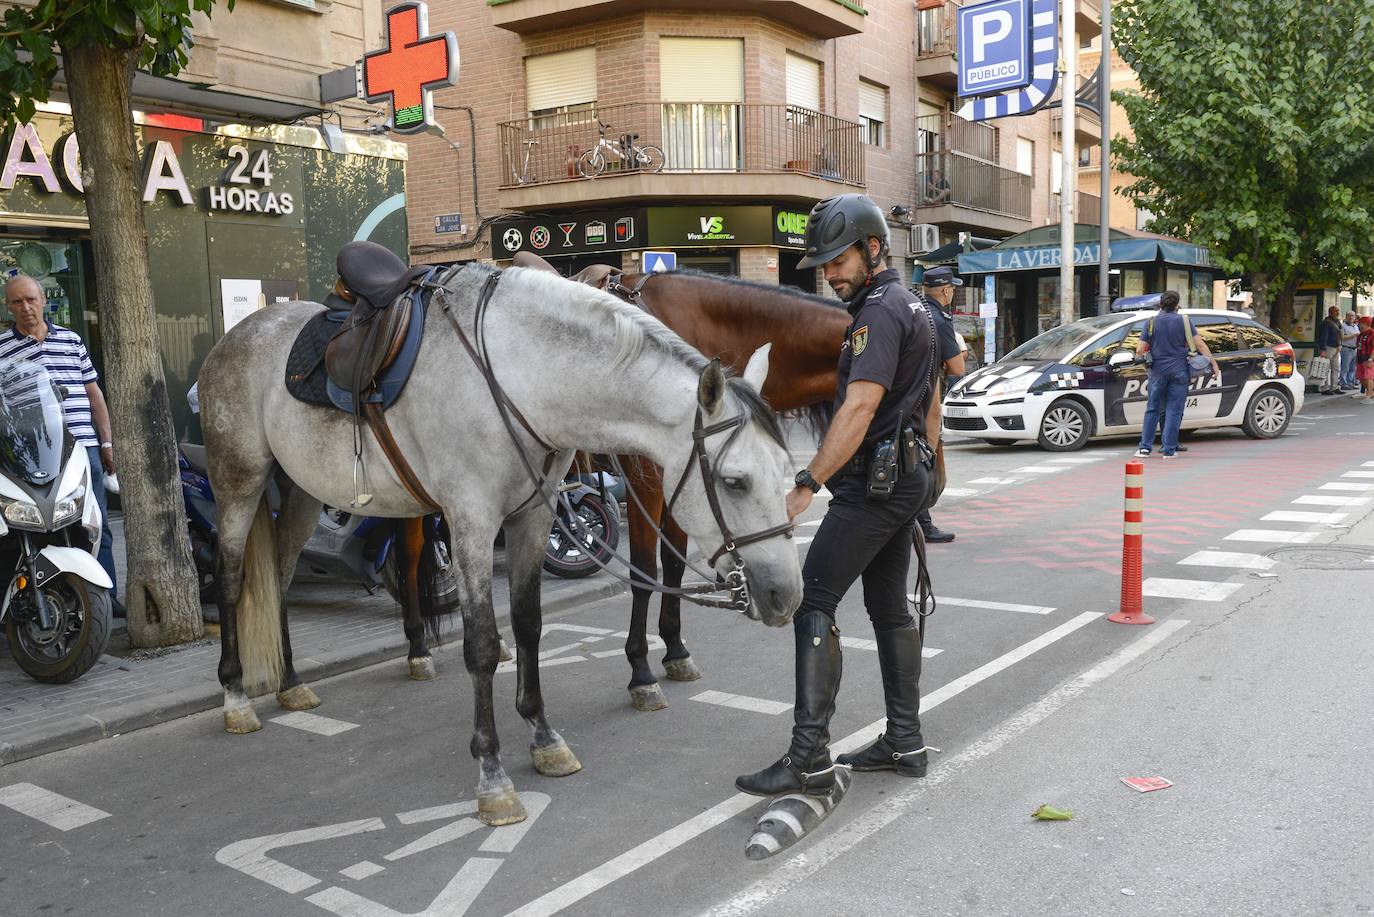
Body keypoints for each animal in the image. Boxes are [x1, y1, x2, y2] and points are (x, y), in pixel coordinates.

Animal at [200, 263, 802, 824]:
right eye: (735, 481)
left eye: (788, 472)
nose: (786, 596)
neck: (519, 376)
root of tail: (238, 334)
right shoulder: (471, 521)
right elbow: (484, 645)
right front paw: (491, 774)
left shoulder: (531, 516)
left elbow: (529, 623)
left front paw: (544, 737)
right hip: (239, 484)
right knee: (231, 580)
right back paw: (236, 698)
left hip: (302, 494)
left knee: (279, 577)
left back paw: (290, 683)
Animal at [607, 269, 851, 714]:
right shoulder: (646, 483)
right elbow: (645, 572)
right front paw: (641, 671)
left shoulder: (689, 484)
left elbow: (673, 564)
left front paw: (675, 650)